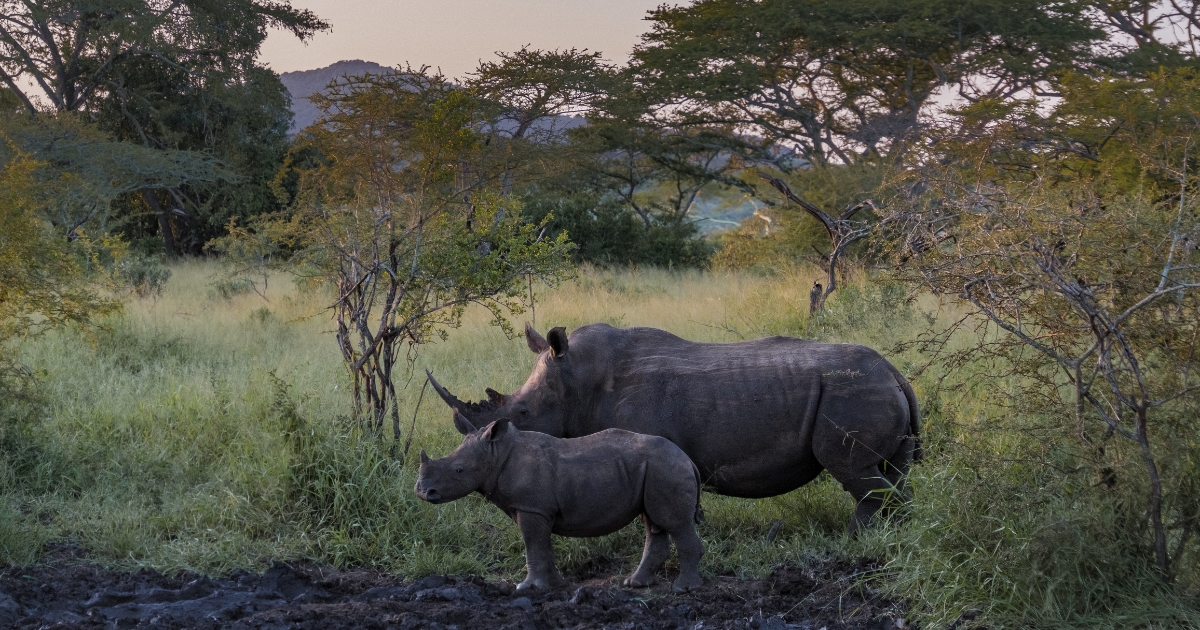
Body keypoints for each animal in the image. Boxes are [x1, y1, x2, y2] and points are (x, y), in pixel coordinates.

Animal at [414, 415, 704, 592]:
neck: (497, 453)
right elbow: (542, 547)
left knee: (674, 523)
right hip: (656, 469)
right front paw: (554, 585)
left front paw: (527, 588)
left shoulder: (531, 507)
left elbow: (533, 545)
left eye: (459, 470)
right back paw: (634, 584)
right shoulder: (536, 509)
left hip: (666, 468)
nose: (422, 492)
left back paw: (683, 588)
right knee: (653, 522)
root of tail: (688, 459)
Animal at [427, 323, 920, 532]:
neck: (578, 378)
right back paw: (893, 534)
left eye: (524, 414)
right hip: (869, 388)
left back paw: (857, 537)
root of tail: (895, 372)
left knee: (854, 471)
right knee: (892, 473)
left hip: (851, 392)